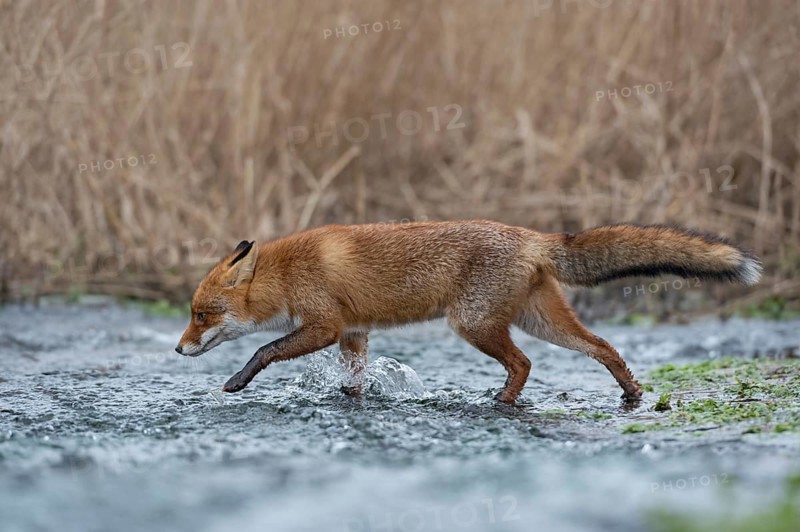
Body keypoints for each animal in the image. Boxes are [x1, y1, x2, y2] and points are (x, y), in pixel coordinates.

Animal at [175, 221, 761, 404]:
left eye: (201, 315)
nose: (178, 348)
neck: (286, 273)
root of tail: (530, 236)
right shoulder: (355, 333)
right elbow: (354, 380)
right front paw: (353, 398)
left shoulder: (325, 324)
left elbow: (266, 347)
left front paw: (237, 381)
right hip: (541, 321)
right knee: (604, 346)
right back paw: (632, 394)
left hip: (474, 324)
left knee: (524, 364)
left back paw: (503, 402)